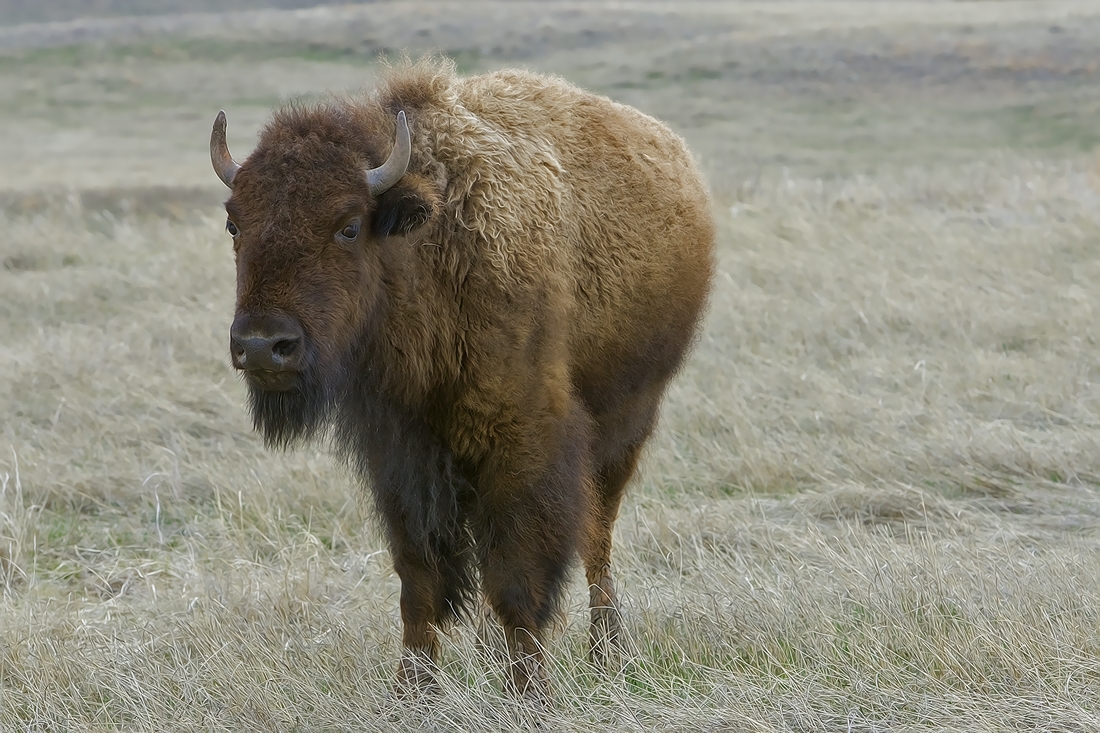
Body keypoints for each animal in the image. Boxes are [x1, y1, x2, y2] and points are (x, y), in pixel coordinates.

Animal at [210, 58, 717, 695]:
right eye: (234, 224)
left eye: (349, 225)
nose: (262, 346)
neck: (428, 248)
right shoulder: (401, 453)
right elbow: (420, 578)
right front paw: (414, 691)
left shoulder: (522, 443)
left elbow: (517, 578)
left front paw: (529, 692)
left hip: (627, 420)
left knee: (598, 536)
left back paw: (607, 653)